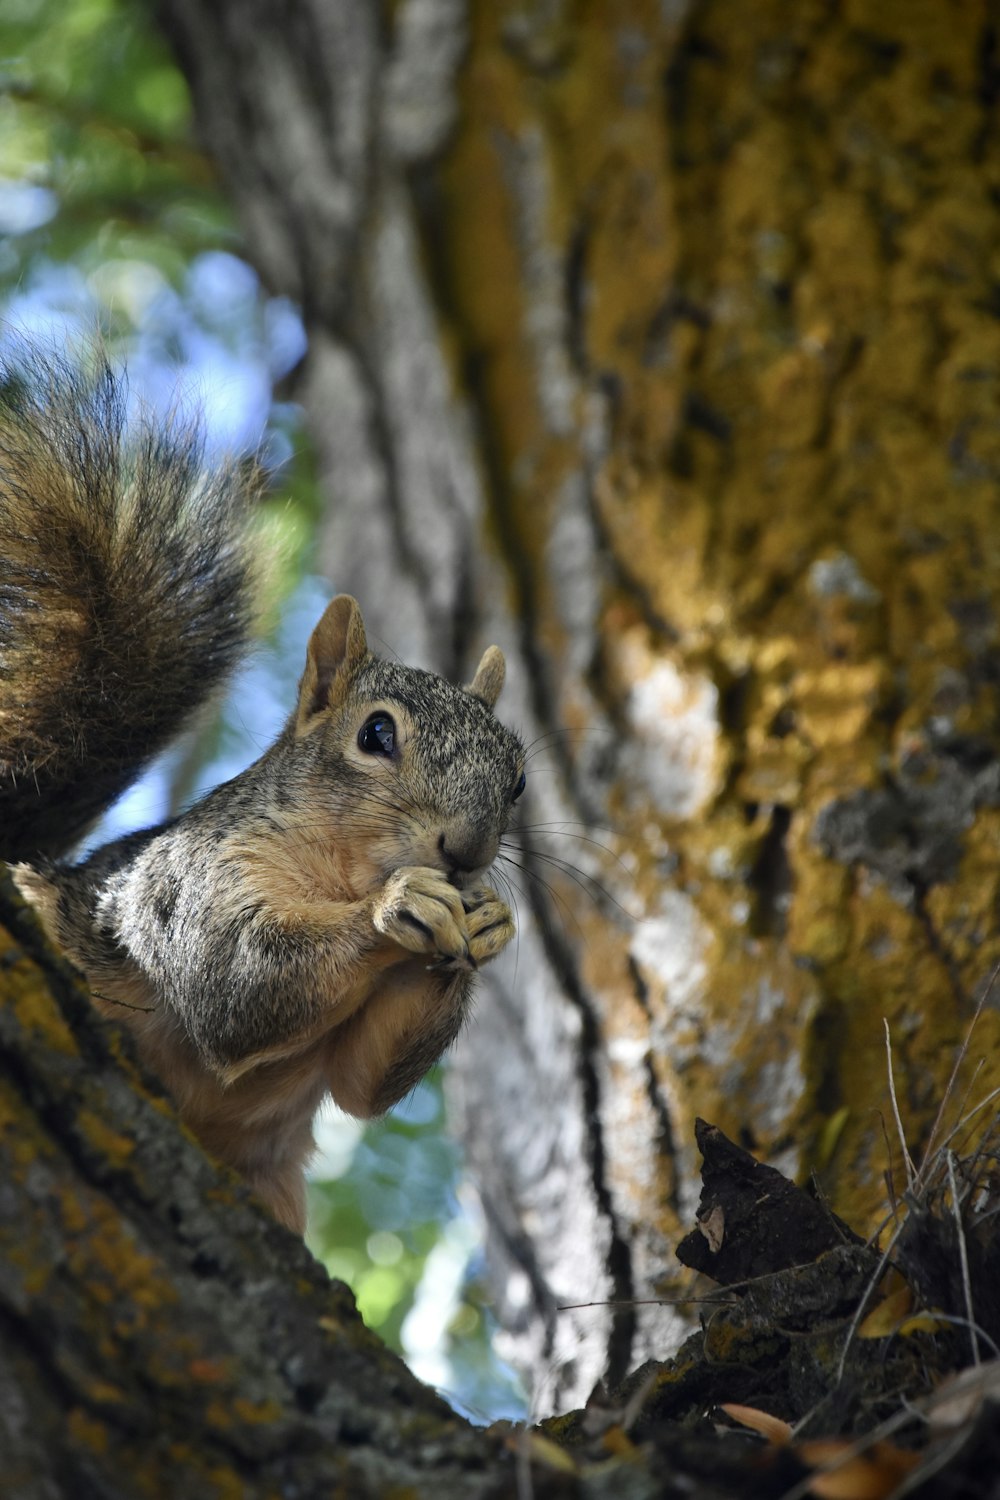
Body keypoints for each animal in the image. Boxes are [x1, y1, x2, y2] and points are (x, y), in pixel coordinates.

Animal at [0, 348, 527, 1230]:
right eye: (375, 735)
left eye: (519, 777)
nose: (466, 851)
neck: (342, 873)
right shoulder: (191, 876)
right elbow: (236, 982)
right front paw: (399, 907)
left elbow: (364, 1082)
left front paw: (485, 925)